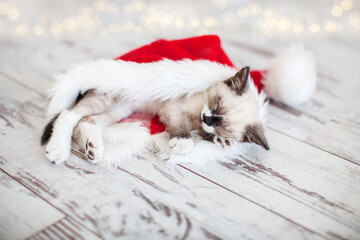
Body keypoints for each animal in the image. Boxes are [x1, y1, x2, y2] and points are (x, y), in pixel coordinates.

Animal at [40, 60, 268, 165]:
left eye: (224, 125)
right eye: (217, 103)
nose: (208, 117)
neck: (198, 116)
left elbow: (206, 133)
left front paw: (222, 140)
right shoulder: (173, 107)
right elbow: (182, 125)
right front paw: (183, 141)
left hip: (119, 110)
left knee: (86, 121)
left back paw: (93, 149)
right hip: (108, 99)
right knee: (68, 114)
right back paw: (59, 149)